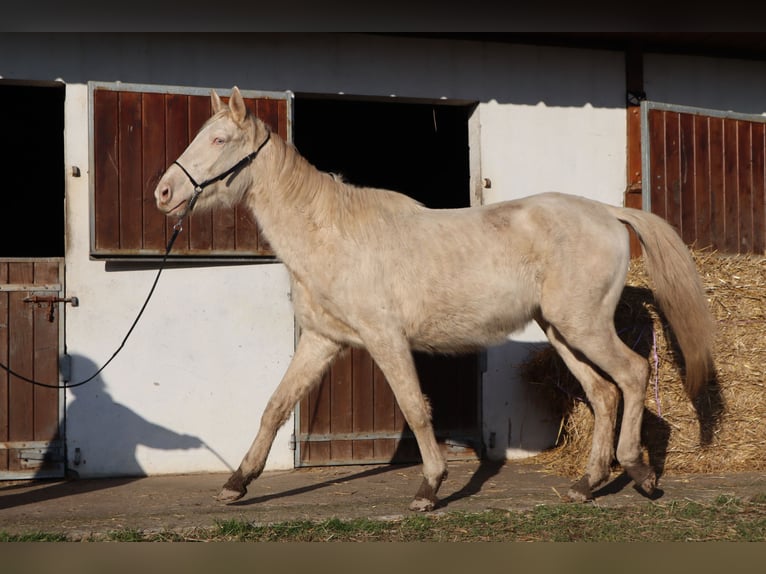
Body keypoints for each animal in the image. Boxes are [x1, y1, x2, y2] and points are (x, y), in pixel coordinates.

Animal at [153, 86, 716, 512]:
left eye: (219, 139)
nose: (163, 194)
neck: (334, 233)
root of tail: (607, 213)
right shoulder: (322, 340)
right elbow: (274, 406)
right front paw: (236, 484)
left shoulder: (385, 339)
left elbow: (415, 407)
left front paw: (430, 488)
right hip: (561, 330)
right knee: (603, 394)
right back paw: (587, 484)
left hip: (584, 326)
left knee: (632, 376)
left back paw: (640, 472)